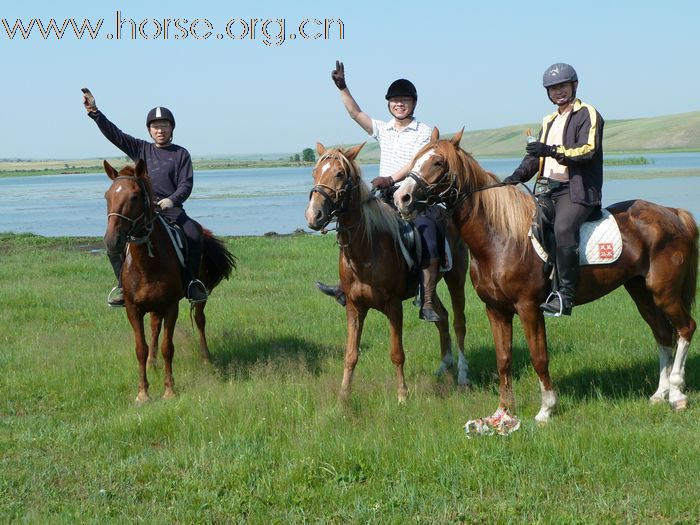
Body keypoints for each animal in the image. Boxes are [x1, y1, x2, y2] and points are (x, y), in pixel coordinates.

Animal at [102, 160, 235, 402]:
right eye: (108, 196)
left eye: (134, 196)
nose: (111, 241)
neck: (146, 262)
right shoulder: (133, 309)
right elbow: (140, 348)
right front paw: (142, 393)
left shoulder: (172, 306)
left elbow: (168, 347)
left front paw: (169, 390)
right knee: (155, 326)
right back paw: (151, 363)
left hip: (198, 297)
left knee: (200, 321)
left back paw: (205, 358)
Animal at [306, 141, 470, 400]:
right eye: (315, 173)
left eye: (340, 174)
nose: (314, 215)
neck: (366, 250)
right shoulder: (354, 308)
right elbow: (351, 354)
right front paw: (344, 395)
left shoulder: (394, 307)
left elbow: (397, 353)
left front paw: (402, 394)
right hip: (430, 289)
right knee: (440, 316)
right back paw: (444, 365)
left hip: (456, 278)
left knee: (458, 322)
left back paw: (463, 375)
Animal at [396, 129, 696, 420]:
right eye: (415, 159)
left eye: (438, 162)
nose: (402, 198)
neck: (501, 238)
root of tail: (673, 214)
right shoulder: (496, 310)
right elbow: (503, 359)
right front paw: (503, 411)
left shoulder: (529, 308)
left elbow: (539, 357)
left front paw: (546, 409)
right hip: (641, 291)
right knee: (663, 334)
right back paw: (659, 394)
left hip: (665, 292)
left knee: (685, 329)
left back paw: (677, 395)